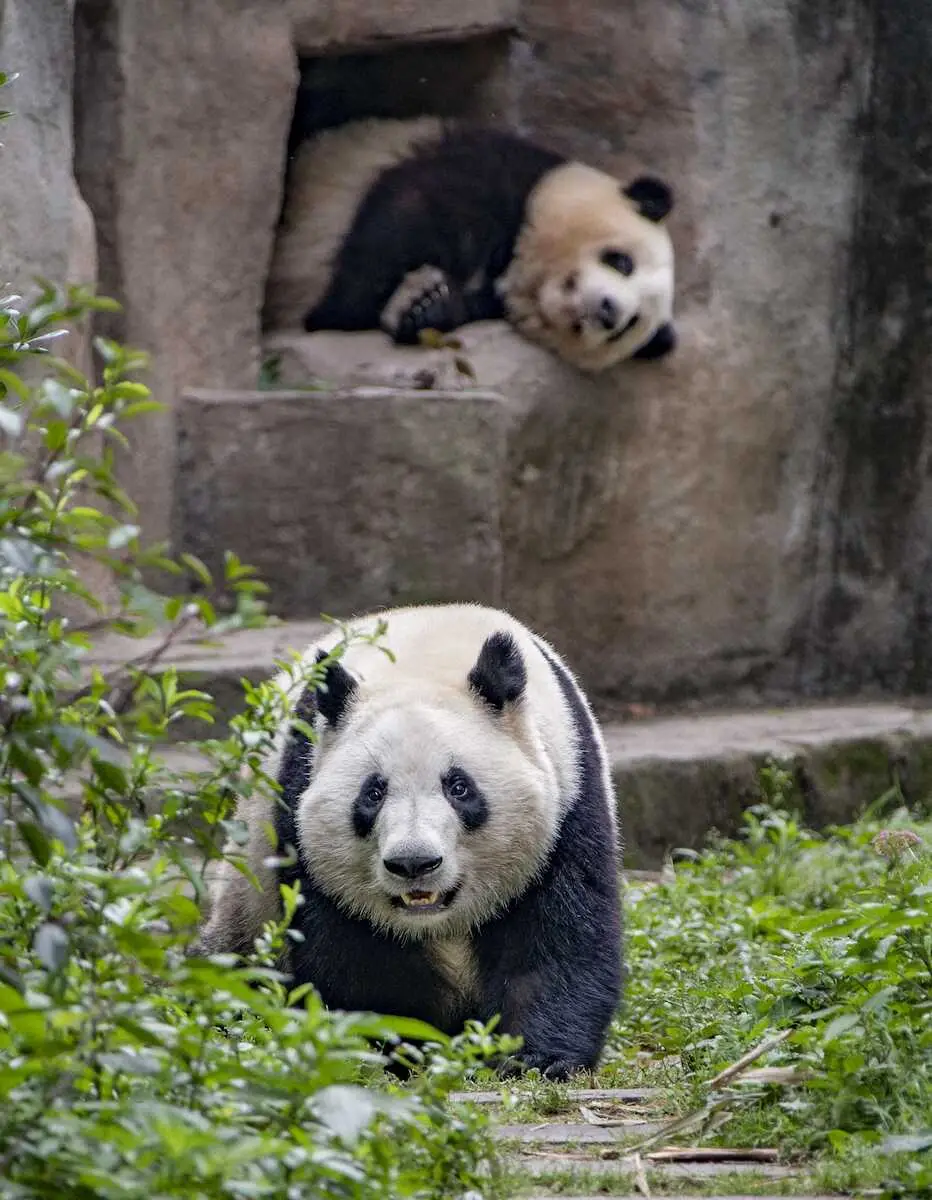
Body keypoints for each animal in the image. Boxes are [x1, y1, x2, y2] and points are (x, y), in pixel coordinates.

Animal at [195, 600, 618, 1080]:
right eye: (373, 793)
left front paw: (536, 1057)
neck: (426, 653)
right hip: (248, 894)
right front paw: (405, 1048)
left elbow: (559, 934)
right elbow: (357, 953)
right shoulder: (298, 806)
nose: (414, 863)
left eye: (459, 787)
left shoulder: (570, 789)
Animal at [261, 115, 676, 374]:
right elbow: (409, 211)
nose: (609, 311)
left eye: (630, 325)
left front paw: (428, 306)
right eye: (622, 262)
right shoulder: (501, 172)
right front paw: (344, 307)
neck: (520, 267)